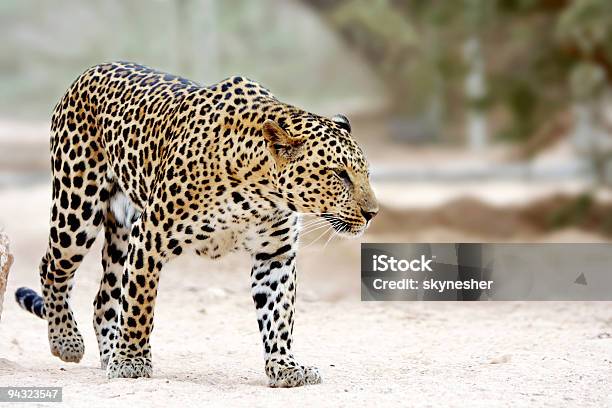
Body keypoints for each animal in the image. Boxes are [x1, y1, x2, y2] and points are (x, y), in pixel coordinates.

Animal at [14, 61, 378, 388]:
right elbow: (139, 305)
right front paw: (132, 361)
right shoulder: (150, 237)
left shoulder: (275, 255)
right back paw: (67, 341)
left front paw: (284, 366)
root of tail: (90, 71)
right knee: (53, 267)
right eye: (339, 174)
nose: (373, 212)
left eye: (365, 173)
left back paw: (107, 354)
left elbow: (278, 315)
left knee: (104, 298)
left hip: (120, 232)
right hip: (76, 210)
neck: (259, 191)